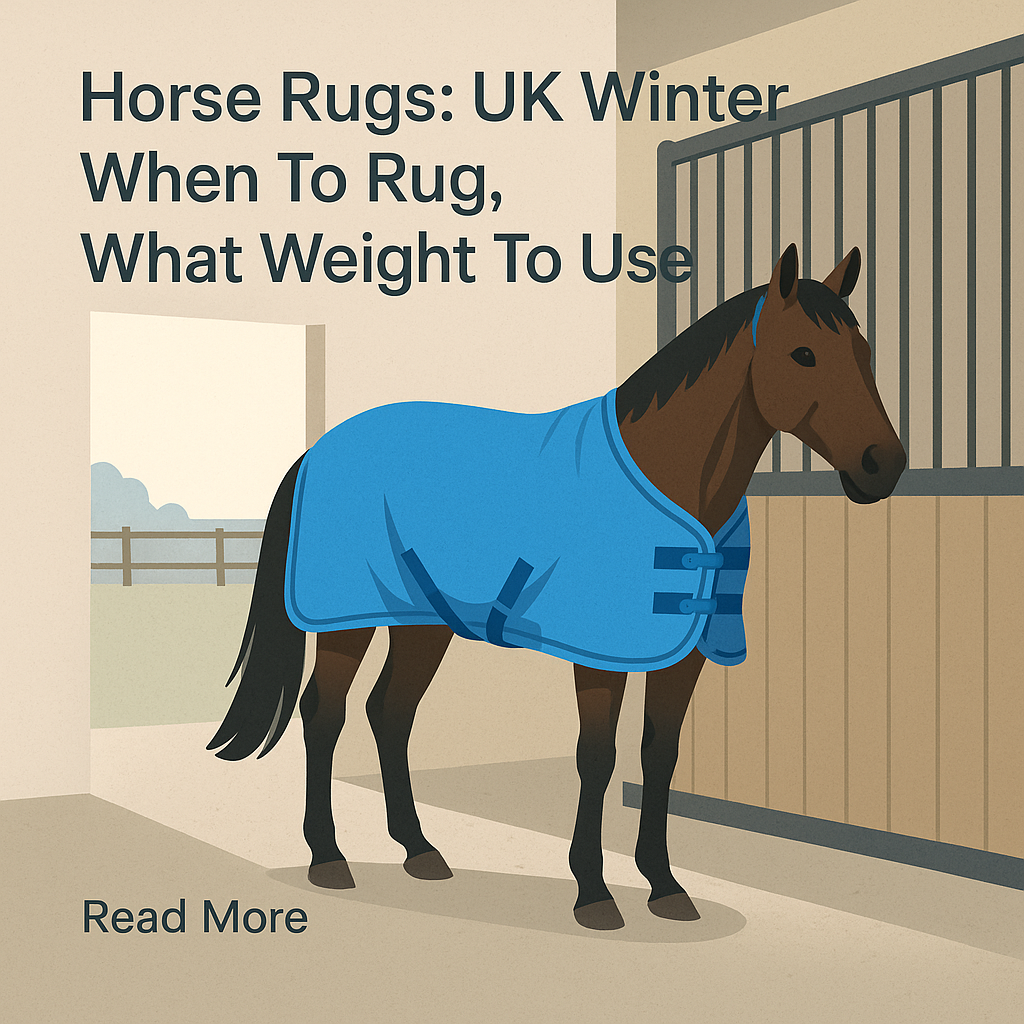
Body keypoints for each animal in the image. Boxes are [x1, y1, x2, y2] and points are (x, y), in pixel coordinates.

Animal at [208, 244, 906, 931]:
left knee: (391, 712)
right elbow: (596, 757)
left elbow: (660, 754)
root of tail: (315, 452)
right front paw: (593, 893)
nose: (885, 465)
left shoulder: (686, 652)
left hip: (422, 621)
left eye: (865, 351)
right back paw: (328, 856)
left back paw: (419, 849)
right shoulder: (600, 655)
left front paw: (665, 886)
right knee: (325, 713)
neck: (669, 474)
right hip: (348, 620)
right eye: (803, 354)